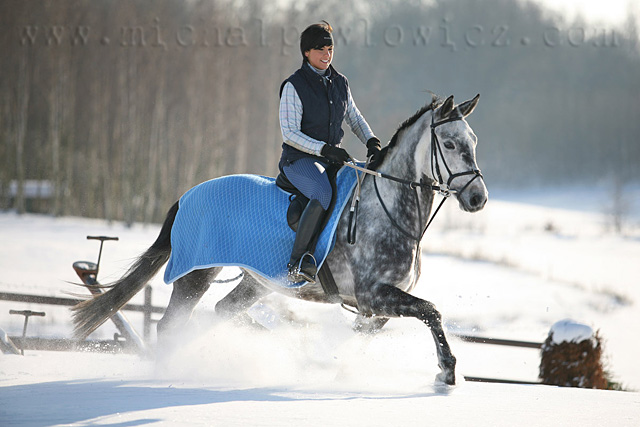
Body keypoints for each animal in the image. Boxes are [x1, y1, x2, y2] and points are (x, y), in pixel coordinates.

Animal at [72, 94, 488, 388]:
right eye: (449, 144)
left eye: (473, 140)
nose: (477, 198)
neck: (387, 210)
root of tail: (188, 195)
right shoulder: (374, 294)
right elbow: (431, 311)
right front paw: (446, 371)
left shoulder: (375, 306)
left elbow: (360, 336)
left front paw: (331, 368)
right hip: (196, 274)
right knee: (171, 325)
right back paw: (166, 373)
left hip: (255, 283)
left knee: (219, 313)